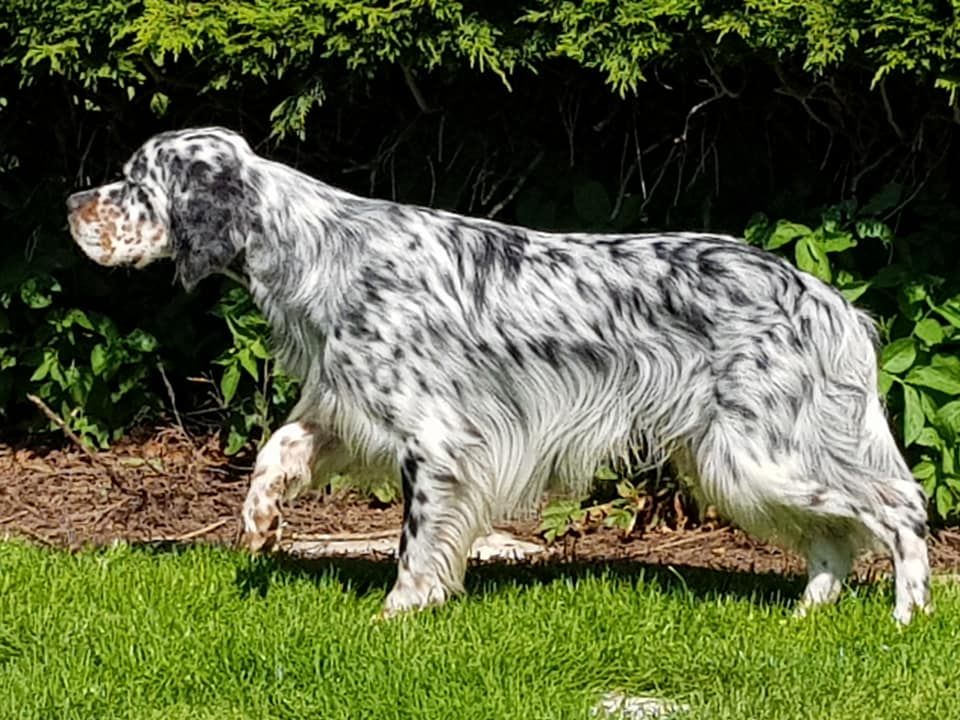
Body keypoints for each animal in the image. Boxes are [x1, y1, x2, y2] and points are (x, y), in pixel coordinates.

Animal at [65, 126, 928, 620]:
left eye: (135, 183)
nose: (73, 204)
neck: (320, 249)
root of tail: (823, 296)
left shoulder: (437, 439)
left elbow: (416, 540)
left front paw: (399, 612)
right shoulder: (349, 405)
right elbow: (279, 447)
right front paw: (262, 519)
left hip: (760, 451)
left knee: (897, 509)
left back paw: (907, 614)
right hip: (743, 457)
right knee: (838, 533)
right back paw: (808, 616)